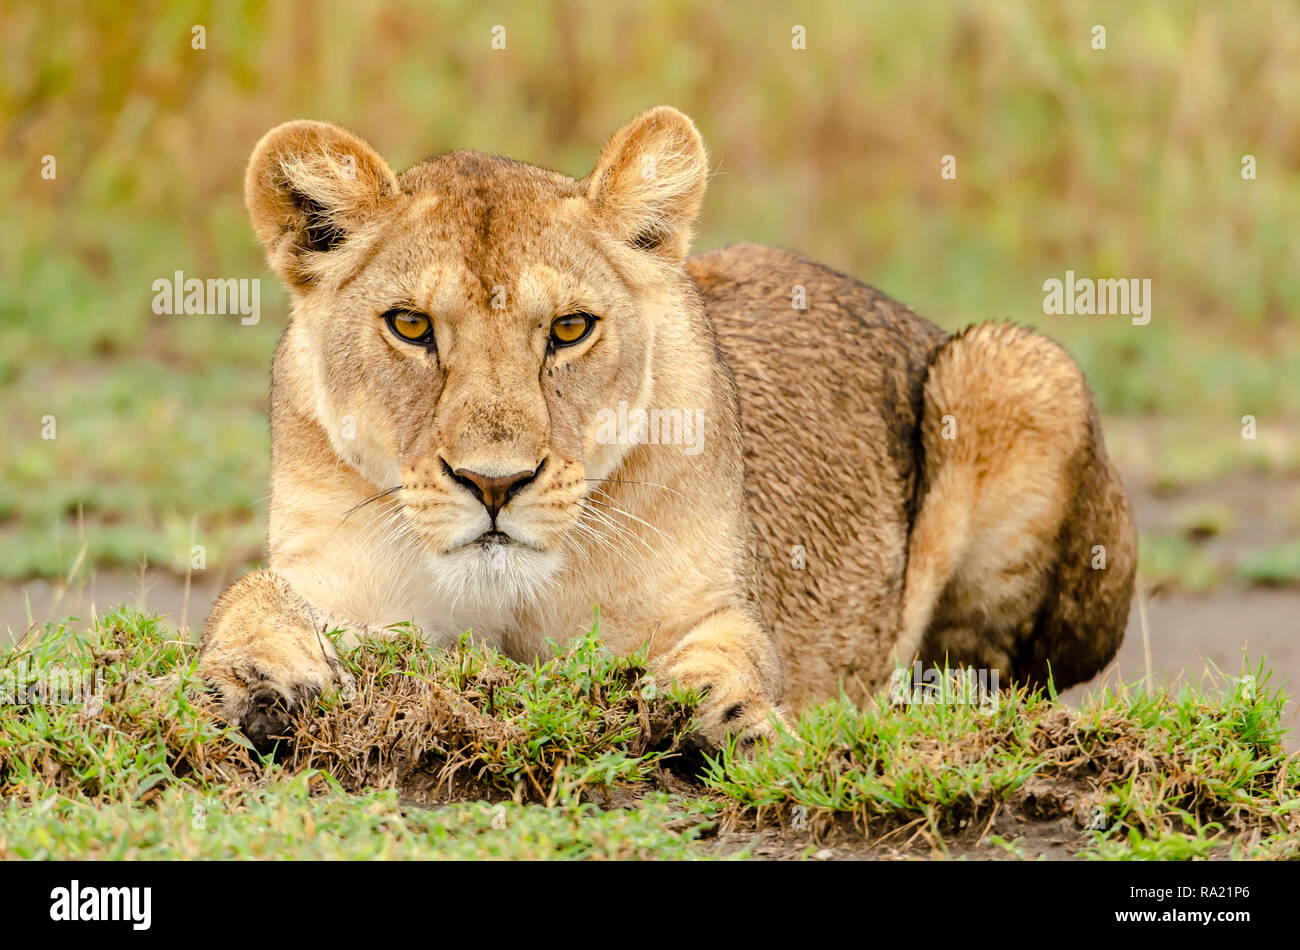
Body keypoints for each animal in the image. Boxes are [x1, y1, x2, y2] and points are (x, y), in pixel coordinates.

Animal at [200, 106, 1136, 753]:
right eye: (410, 326)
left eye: (570, 329)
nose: (496, 484)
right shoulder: (343, 581)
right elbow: (247, 595)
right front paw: (259, 678)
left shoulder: (709, 600)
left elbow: (738, 648)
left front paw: (723, 711)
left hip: (1014, 367)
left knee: (989, 672)